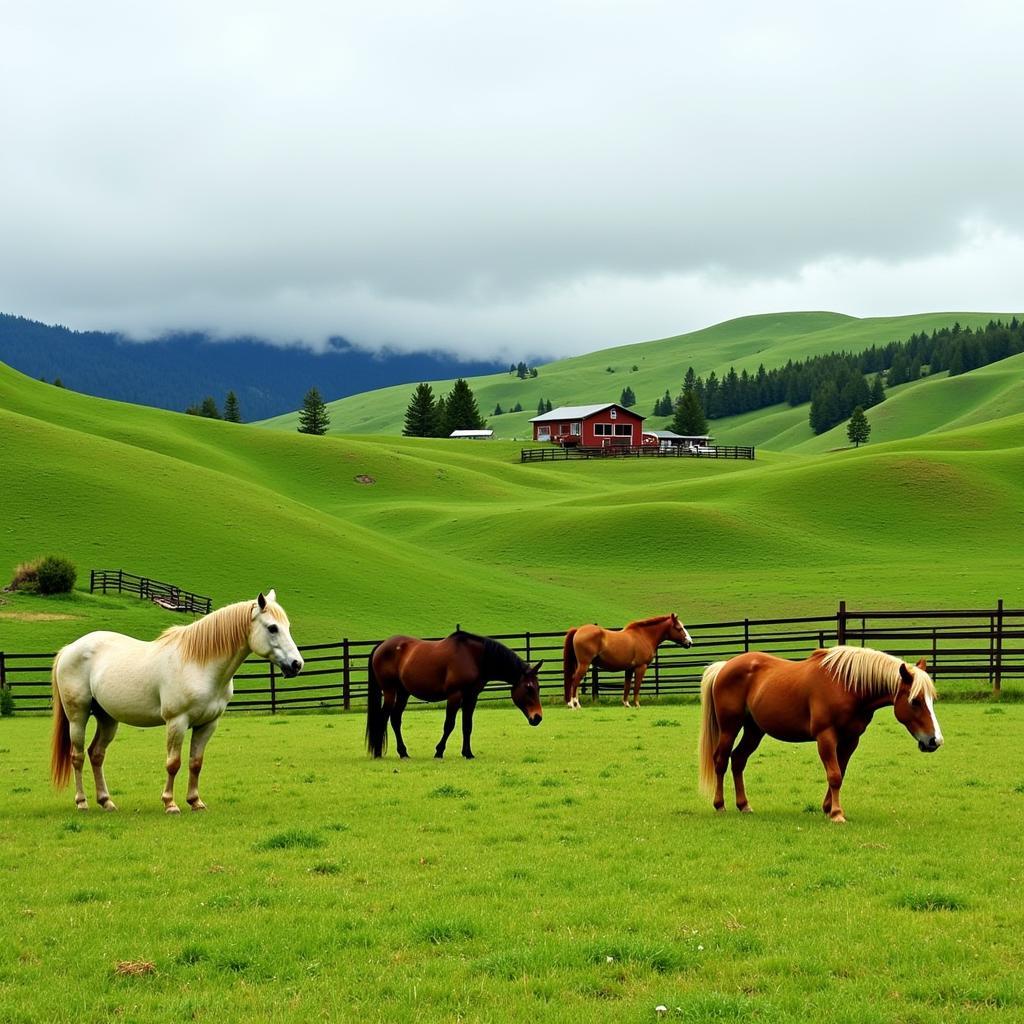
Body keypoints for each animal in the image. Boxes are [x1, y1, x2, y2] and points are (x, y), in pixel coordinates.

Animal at [51, 589, 299, 811]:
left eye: (287, 626)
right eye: (272, 628)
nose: (297, 664)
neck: (199, 665)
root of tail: (69, 649)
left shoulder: (208, 724)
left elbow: (195, 763)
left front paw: (195, 801)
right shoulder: (176, 722)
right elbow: (173, 763)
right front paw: (170, 803)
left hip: (107, 718)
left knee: (96, 754)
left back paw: (106, 801)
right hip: (78, 717)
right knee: (77, 756)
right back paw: (82, 802)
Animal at [368, 630, 544, 761]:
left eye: (538, 687)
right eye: (528, 688)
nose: (537, 718)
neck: (473, 657)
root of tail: (381, 645)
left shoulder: (471, 697)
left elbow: (467, 726)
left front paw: (468, 753)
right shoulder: (455, 695)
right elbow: (449, 724)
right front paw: (439, 751)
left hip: (403, 693)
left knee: (395, 719)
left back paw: (403, 752)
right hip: (390, 691)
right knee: (384, 717)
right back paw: (378, 752)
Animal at [561, 610, 696, 708]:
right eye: (679, 628)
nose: (689, 642)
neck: (644, 635)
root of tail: (578, 630)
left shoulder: (629, 669)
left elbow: (627, 686)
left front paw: (626, 704)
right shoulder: (641, 667)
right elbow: (636, 686)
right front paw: (637, 704)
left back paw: (574, 704)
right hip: (584, 664)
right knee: (575, 680)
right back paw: (574, 704)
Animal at [696, 647, 942, 823]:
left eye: (931, 699)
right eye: (915, 701)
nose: (935, 741)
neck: (847, 686)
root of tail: (724, 666)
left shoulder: (850, 740)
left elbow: (840, 773)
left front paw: (828, 808)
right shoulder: (826, 737)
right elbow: (833, 774)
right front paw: (836, 814)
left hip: (754, 730)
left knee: (738, 760)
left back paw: (744, 805)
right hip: (730, 728)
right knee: (720, 760)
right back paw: (720, 805)